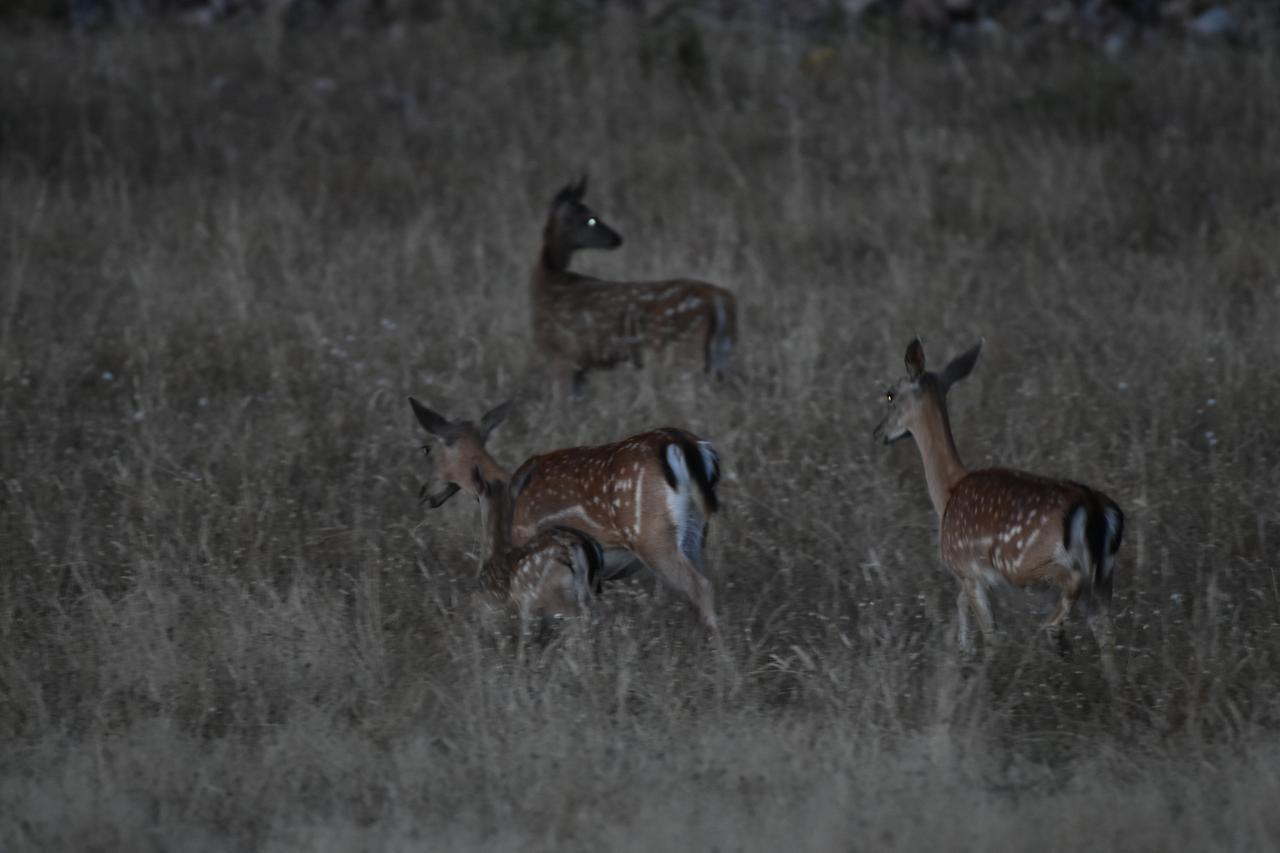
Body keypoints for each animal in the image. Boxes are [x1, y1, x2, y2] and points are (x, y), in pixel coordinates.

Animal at [414, 394, 727, 627]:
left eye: (426, 449)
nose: (424, 493)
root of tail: (685, 445)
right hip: (695, 531)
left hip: (651, 534)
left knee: (701, 586)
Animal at [527, 178, 737, 397]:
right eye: (591, 220)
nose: (617, 238)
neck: (547, 282)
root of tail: (718, 297)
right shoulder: (579, 366)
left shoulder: (561, 356)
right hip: (723, 349)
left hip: (679, 347)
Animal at [875, 338, 1126, 671]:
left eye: (890, 394)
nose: (879, 432)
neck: (947, 491)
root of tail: (1094, 509)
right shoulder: (968, 578)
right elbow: (961, 606)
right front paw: (963, 652)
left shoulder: (968, 569)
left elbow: (991, 633)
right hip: (1105, 575)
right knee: (1107, 636)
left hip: (1024, 561)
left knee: (1071, 582)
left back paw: (1054, 633)